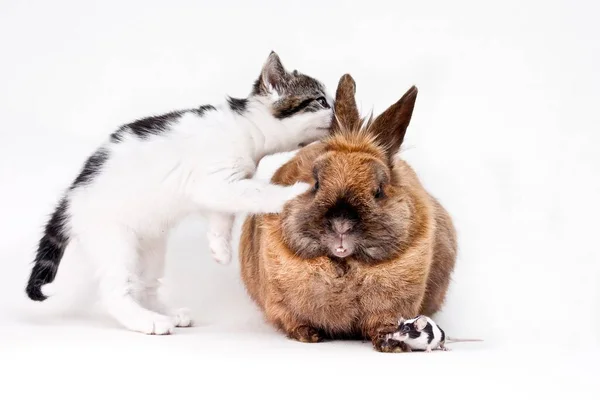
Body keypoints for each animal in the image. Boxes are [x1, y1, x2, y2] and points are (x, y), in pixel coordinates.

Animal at [25, 52, 332, 334]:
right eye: (320, 100)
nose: (335, 110)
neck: (246, 128)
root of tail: (70, 198)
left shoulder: (225, 186)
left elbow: (223, 214)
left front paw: (220, 249)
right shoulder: (212, 182)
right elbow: (256, 192)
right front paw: (294, 193)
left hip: (150, 243)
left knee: (146, 284)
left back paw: (165, 312)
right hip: (114, 239)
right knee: (115, 291)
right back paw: (148, 321)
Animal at [237, 73, 458, 352]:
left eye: (379, 190)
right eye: (316, 183)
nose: (341, 224)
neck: (343, 266)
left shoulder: (391, 308)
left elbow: (383, 324)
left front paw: (392, 346)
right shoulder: (282, 304)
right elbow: (294, 321)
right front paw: (308, 335)